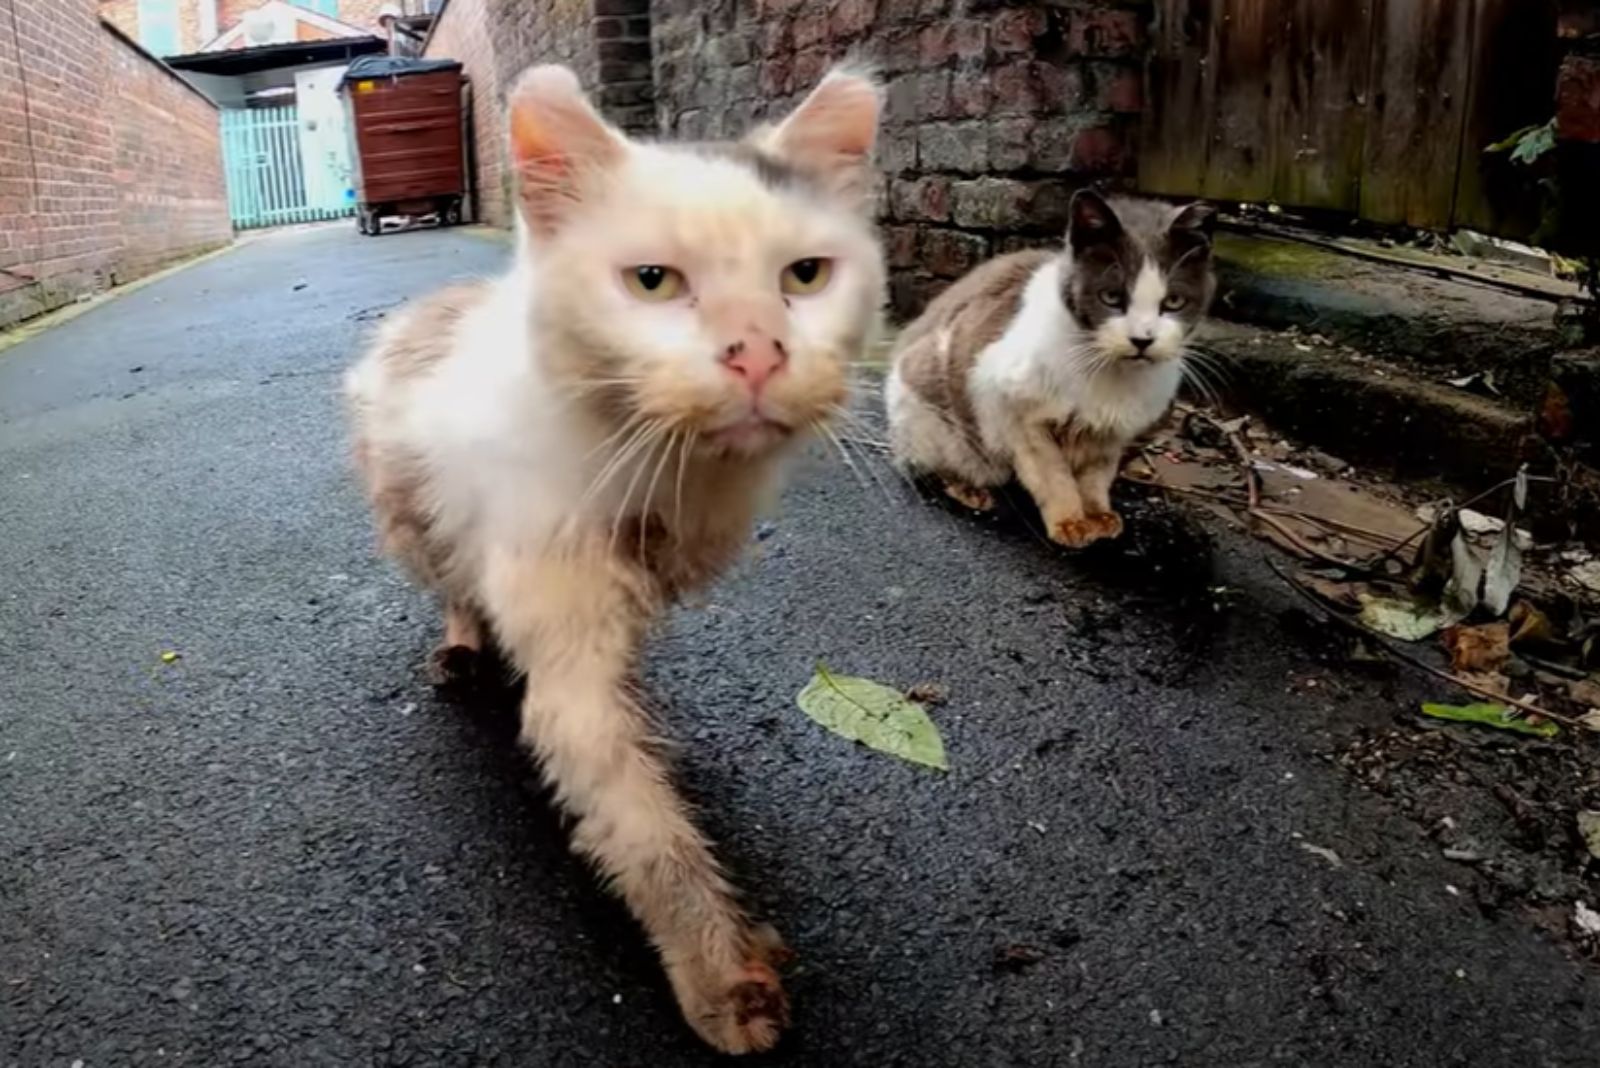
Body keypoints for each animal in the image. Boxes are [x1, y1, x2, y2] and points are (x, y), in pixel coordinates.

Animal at [345, 64, 889, 1048]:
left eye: (805, 276)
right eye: (652, 282)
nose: (757, 354)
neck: (662, 467)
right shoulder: (565, 644)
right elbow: (640, 822)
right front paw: (721, 977)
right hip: (411, 514)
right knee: (452, 582)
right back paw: (461, 644)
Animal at [889, 187, 1209, 546]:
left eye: (1174, 302)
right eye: (1111, 297)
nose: (1142, 339)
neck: (1107, 372)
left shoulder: (1109, 436)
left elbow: (1096, 476)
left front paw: (1098, 515)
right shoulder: (1016, 413)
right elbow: (1052, 474)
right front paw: (1069, 523)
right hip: (933, 416)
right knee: (924, 465)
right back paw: (969, 490)